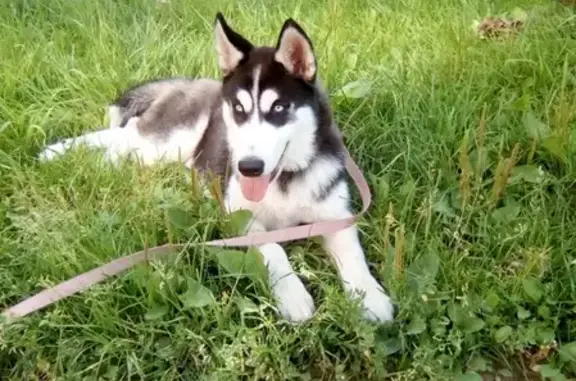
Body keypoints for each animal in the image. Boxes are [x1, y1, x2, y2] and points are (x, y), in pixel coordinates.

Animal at [38, 12, 394, 320]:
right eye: (238, 109)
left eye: (279, 108)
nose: (249, 167)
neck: (283, 181)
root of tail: (189, 83)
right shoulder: (239, 216)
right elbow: (273, 250)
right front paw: (293, 295)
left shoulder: (336, 215)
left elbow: (354, 254)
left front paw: (371, 297)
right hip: (163, 142)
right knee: (125, 133)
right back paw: (58, 152)